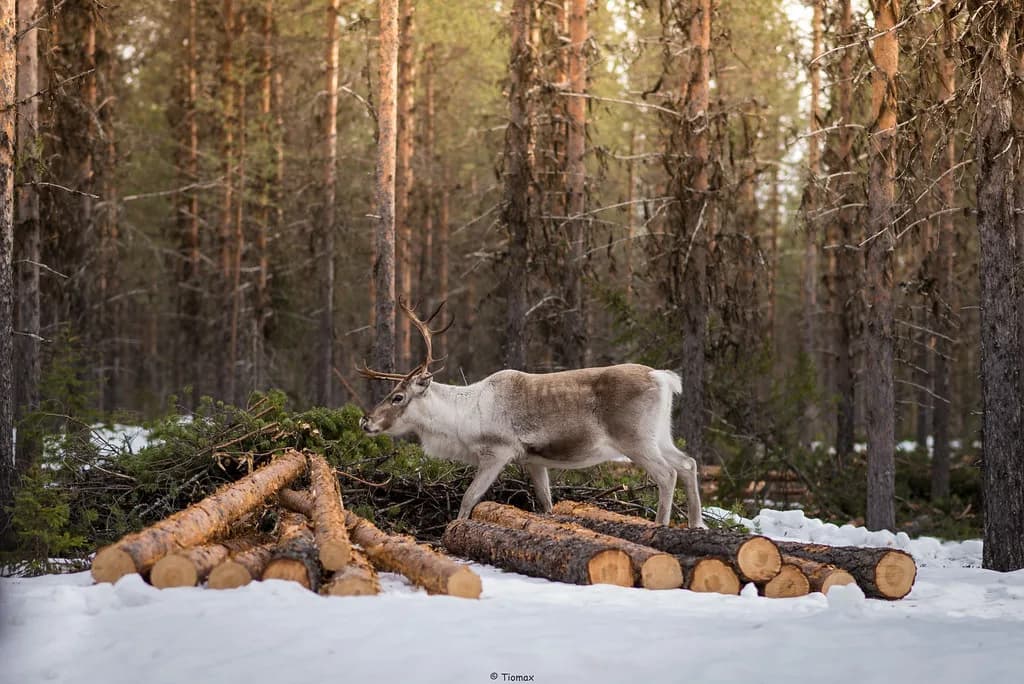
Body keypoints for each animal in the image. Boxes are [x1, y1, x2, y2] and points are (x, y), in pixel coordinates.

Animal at [358, 300, 705, 528]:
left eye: (397, 397)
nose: (366, 421)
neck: (461, 418)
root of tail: (664, 378)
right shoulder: (533, 460)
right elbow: (547, 503)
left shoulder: (498, 451)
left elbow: (469, 497)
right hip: (661, 435)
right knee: (688, 463)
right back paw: (696, 524)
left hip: (635, 438)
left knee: (667, 474)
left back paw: (661, 526)